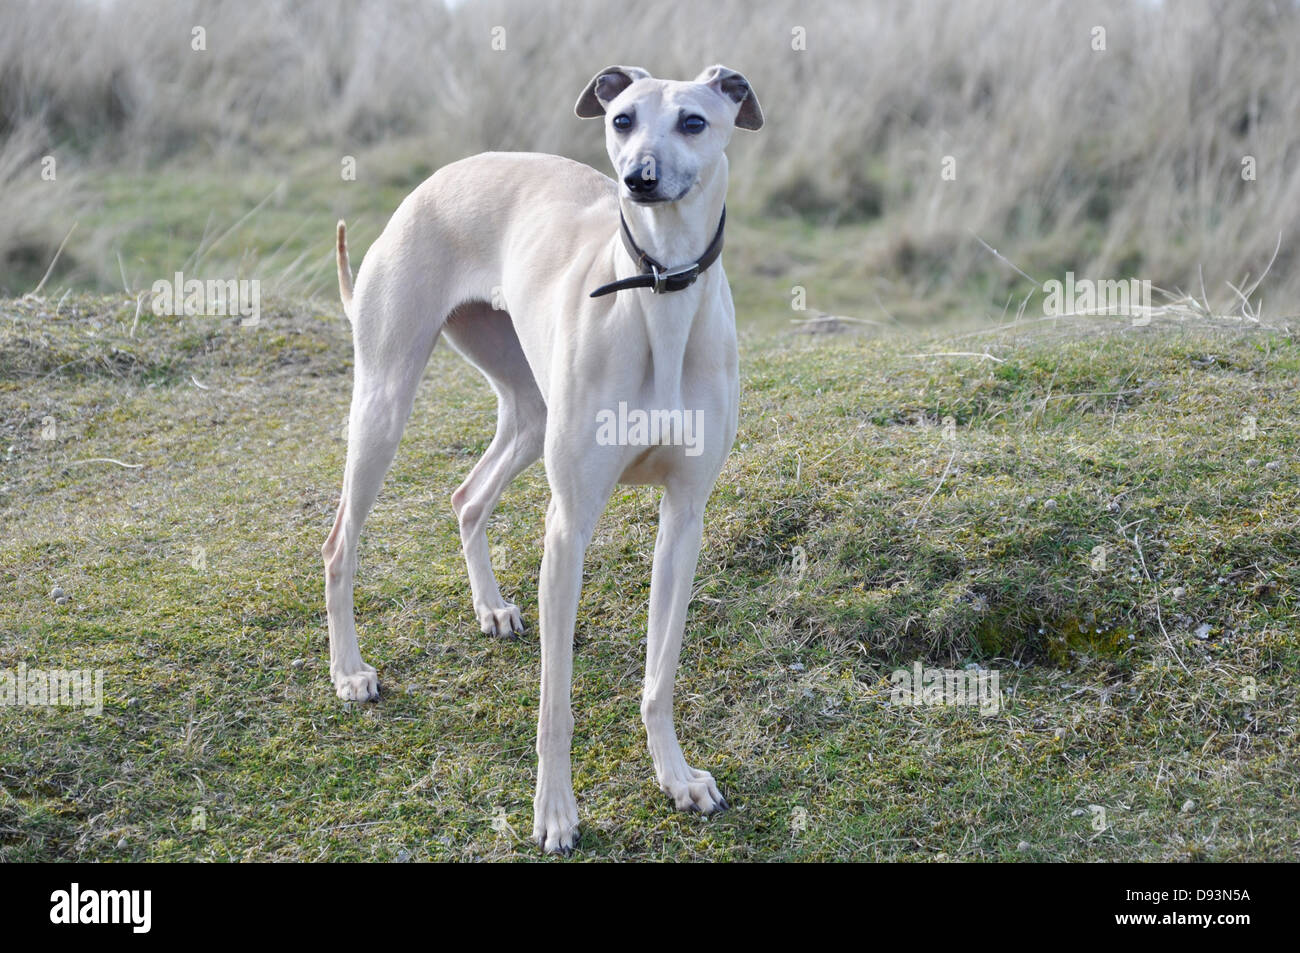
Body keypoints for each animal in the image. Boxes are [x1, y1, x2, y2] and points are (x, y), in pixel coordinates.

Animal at [323, 66, 759, 852]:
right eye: (621, 119)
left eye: (694, 121)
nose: (638, 179)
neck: (657, 294)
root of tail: (439, 176)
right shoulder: (569, 527)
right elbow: (555, 702)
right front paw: (555, 812)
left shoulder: (685, 518)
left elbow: (660, 674)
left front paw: (676, 776)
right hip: (382, 405)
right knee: (340, 542)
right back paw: (348, 671)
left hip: (530, 411)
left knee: (467, 495)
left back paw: (490, 607)